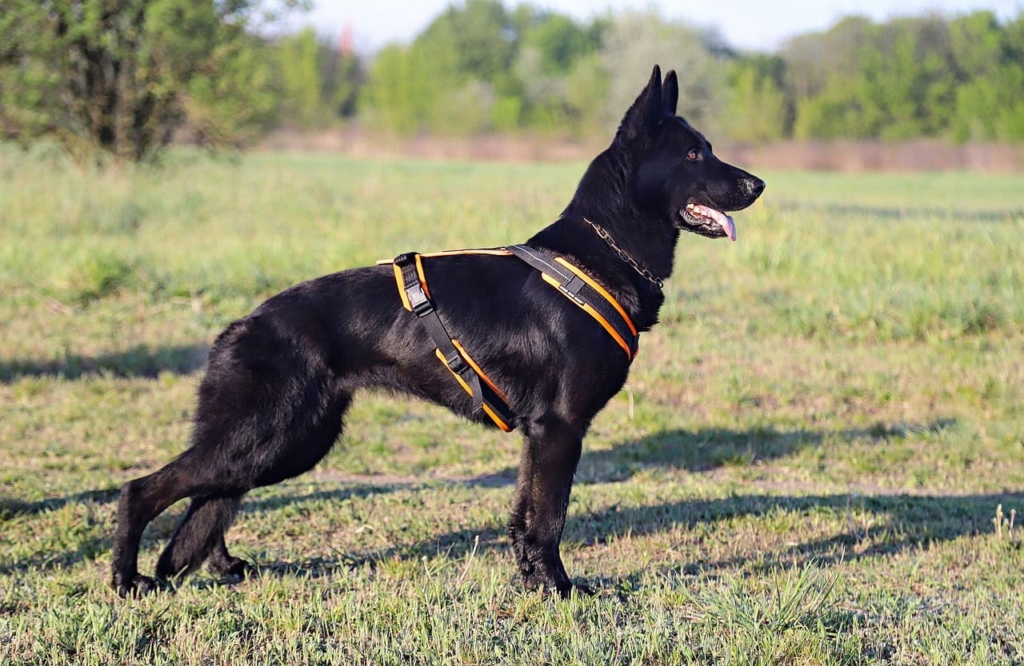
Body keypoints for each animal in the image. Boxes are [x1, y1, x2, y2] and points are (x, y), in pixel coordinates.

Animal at [114, 66, 761, 598]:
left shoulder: (540, 438)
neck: (600, 255)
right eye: (695, 154)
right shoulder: (559, 430)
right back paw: (127, 580)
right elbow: (550, 518)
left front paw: (533, 584)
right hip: (267, 437)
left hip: (284, 444)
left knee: (210, 499)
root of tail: (240, 325)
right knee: (143, 490)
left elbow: (525, 519)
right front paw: (560, 590)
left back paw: (217, 568)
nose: (758, 185)